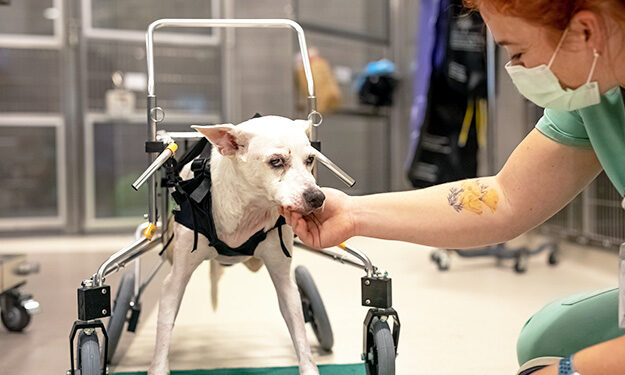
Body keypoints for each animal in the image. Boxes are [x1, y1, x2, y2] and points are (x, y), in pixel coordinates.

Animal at [149, 116, 324, 375]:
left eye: (310, 159)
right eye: (276, 161)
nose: (317, 198)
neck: (250, 209)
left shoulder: (285, 284)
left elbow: (299, 332)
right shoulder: (174, 281)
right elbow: (164, 326)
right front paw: (158, 367)